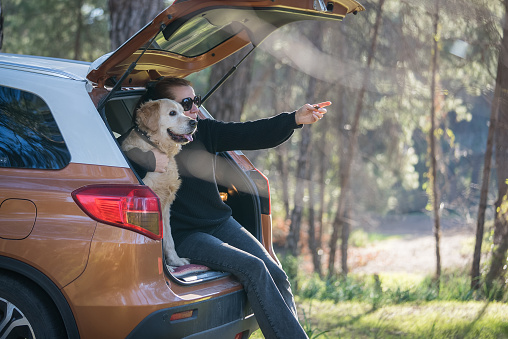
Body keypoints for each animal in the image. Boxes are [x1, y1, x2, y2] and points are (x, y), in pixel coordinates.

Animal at [121, 98, 196, 268]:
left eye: (183, 111)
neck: (155, 145)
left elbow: (168, 238)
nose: (194, 122)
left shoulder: (166, 205)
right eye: (172, 113)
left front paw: (175, 260)